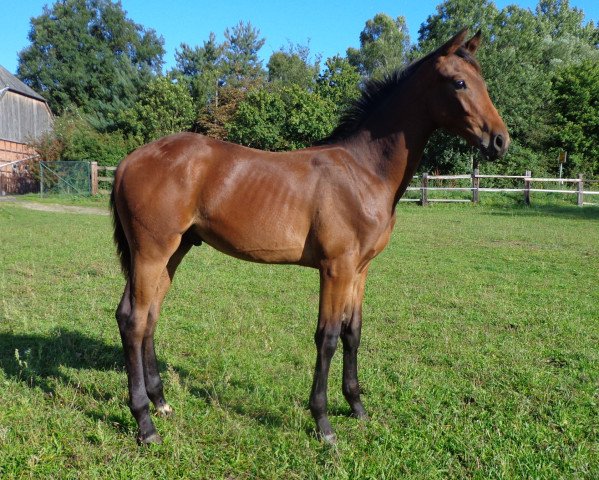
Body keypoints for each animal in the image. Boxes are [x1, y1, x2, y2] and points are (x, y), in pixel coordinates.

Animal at [110, 28, 508, 444]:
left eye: (482, 80)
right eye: (459, 83)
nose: (500, 141)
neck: (363, 172)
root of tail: (128, 161)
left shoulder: (360, 270)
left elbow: (353, 333)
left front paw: (357, 408)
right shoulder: (336, 268)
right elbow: (327, 337)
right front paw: (323, 423)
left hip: (175, 251)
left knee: (149, 316)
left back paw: (161, 402)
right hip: (152, 252)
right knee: (134, 320)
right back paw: (145, 423)